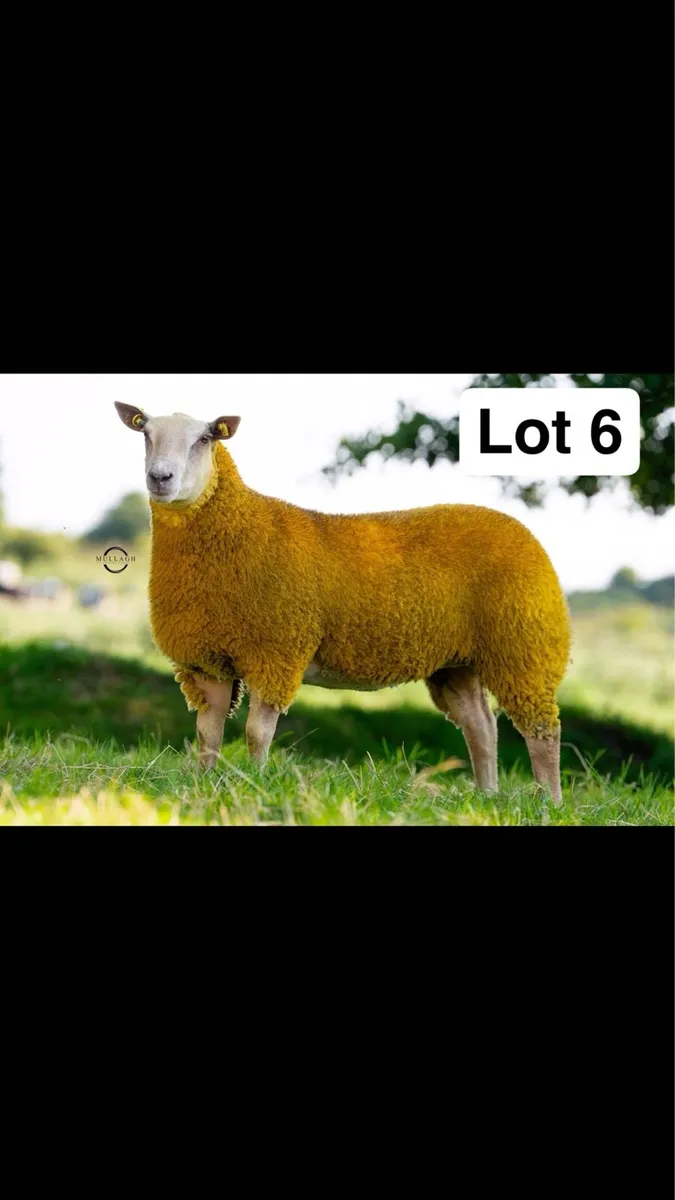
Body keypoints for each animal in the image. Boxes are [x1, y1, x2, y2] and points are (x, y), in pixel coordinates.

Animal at [115, 401, 571, 803]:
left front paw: (255, 782)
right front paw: (203, 785)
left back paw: (548, 802)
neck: (241, 532)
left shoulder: (277, 652)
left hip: (523, 648)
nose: (160, 477)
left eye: (205, 438)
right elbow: (207, 735)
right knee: (481, 727)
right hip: (458, 661)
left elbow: (256, 733)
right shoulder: (206, 661)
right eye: (145, 433)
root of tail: (524, 533)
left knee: (542, 731)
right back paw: (486, 795)